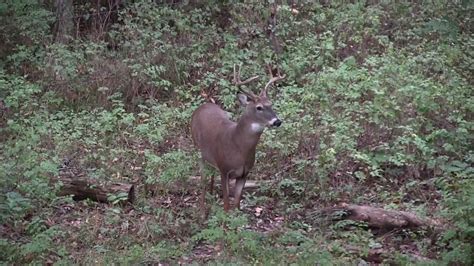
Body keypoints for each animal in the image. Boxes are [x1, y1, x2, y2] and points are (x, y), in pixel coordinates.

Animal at [190, 64, 286, 212]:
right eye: (259, 107)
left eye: (271, 104)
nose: (277, 121)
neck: (237, 145)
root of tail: (201, 107)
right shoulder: (224, 169)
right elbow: (226, 205)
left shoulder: (244, 173)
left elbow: (236, 204)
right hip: (197, 149)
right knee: (203, 179)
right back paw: (202, 209)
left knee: (211, 174)